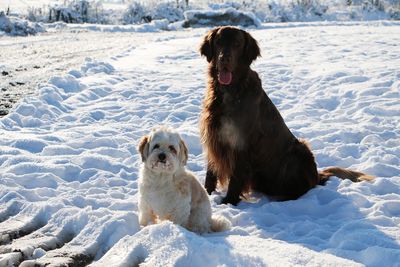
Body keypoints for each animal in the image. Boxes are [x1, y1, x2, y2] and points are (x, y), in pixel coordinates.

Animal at [198, 26, 374, 205]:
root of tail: (316, 176)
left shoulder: (241, 141)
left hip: (299, 151)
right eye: (218, 42)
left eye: (237, 44)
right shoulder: (214, 136)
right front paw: (208, 195)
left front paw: (228, 202)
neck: (230, 92)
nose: (224, 59)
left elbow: (236, 178)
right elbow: (210, 173)